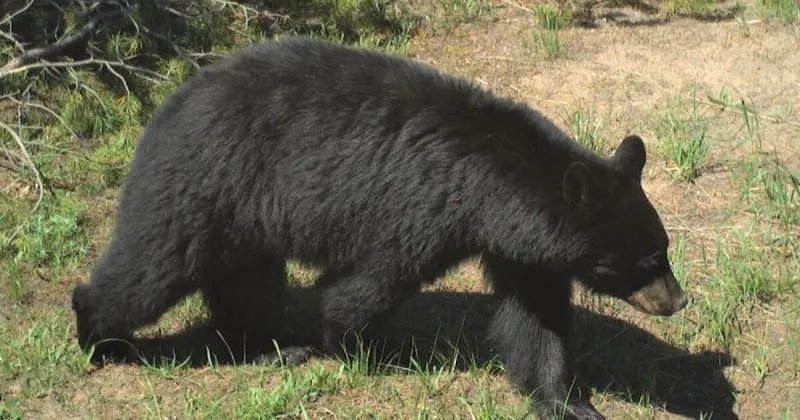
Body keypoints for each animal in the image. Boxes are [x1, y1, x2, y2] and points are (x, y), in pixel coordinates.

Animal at [71, 36, 688, 420]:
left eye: (663, 248)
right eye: (645, 261)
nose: (677, 299)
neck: (491, 187)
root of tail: (171, 100)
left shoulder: (521, 248)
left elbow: (536, 321)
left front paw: (569, 401)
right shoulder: (420, 210)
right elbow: (368, 284)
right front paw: (357, 346)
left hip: (243, 214)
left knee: (244, 279)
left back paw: (271, 346)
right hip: (205, 180)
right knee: (152, 267)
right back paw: (97, 335)